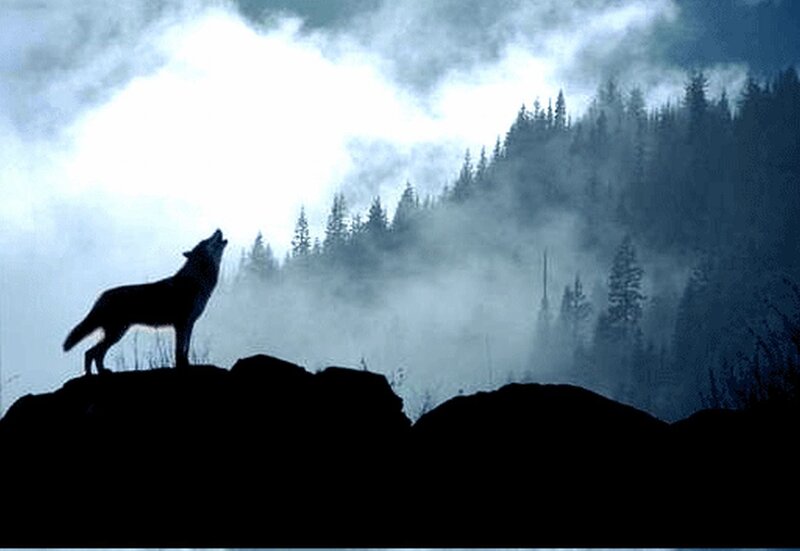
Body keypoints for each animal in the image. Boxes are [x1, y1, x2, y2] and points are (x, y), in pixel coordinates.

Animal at [63, 229, 228, 375]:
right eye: (206, 240)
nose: (218, 229)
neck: (197, 281)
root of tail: (101, 296)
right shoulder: (180, 324)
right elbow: (179, 351)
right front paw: (181, 367)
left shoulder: (189, 324)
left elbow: (185, 350)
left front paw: (187, 365)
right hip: (116, 334)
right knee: (91, 352)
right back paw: (92, 374)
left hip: (117, 334)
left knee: (94, 353)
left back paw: (101, 372)